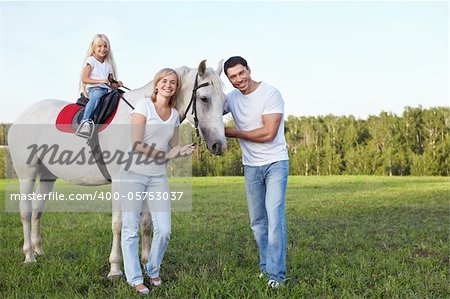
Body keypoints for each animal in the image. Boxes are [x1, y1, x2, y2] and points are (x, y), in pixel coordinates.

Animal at [9, 60, 229, 278]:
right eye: (204, 98)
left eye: (224, 103)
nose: (219, 145)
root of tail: (20, 117)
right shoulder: (120, 181)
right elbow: (118, 224)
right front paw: (115, 268)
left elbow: (146, 223)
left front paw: (146, 262)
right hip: (27, 175)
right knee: (25, 211)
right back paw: (29, 256)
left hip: (47, 177)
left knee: (37, 210)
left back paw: (38, 249)